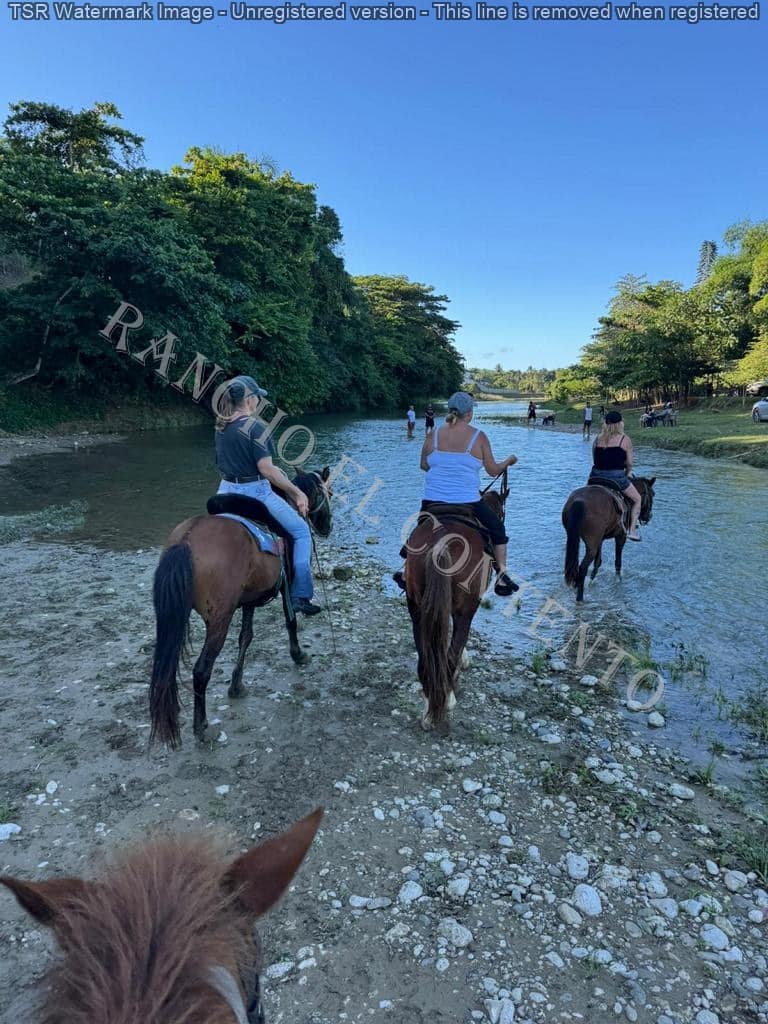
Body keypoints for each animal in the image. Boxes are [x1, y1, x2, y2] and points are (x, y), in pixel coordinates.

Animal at [149, 470, 332, 748]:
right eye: (328, 493)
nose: (328, 526)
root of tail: (187, 539)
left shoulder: (248, 600)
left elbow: (246, 637)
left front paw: (236, 686)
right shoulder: (287, 584)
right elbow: (290, 620)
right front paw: (298, 654)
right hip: (219, 620)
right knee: (201, 670)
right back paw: (201, 727)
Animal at [403, 479, 509, 730]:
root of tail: (440, 545)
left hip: (417, 608)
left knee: (426, 657)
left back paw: (429, 705)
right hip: (465, 608)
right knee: (452, 650)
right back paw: (448, 697)